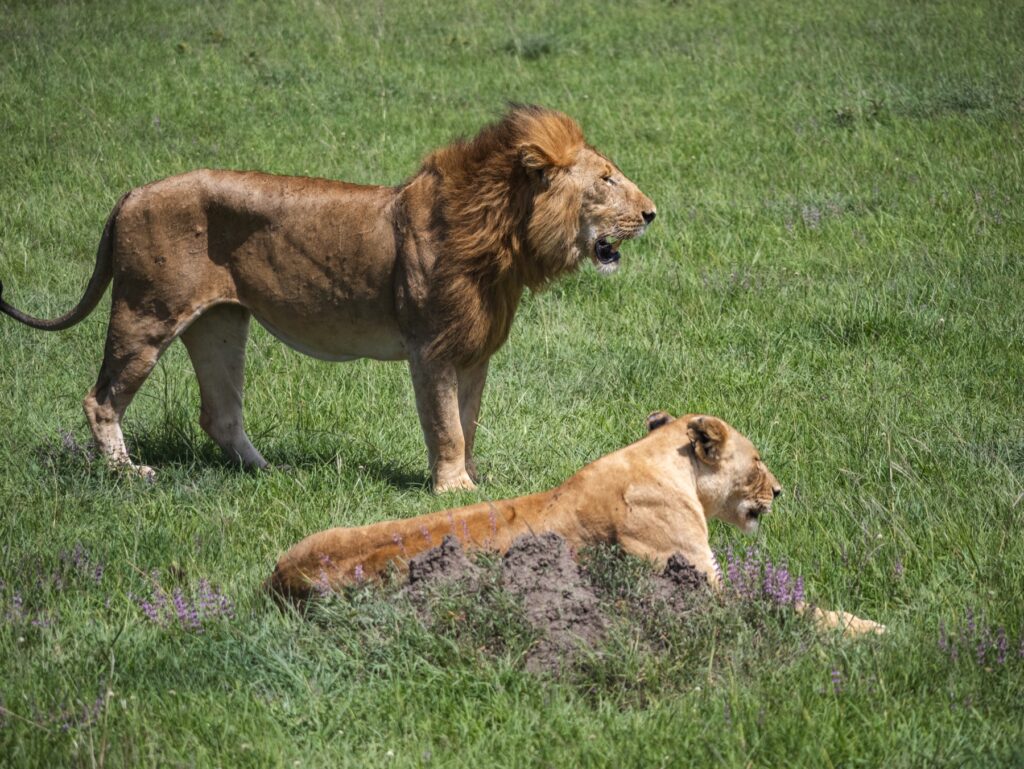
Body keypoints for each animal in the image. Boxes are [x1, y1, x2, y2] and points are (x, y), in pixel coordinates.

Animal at [0, 105, 656, 491]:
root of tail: (132, 192)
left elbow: (468, 422)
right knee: (101, 399)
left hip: (221, 323)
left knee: (220, 412)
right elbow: (445, 425)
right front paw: (452, 489)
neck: (504, 239)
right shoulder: (432, 349)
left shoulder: (474, 351)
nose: (652, 213)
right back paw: (127, 472)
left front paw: (473, 481)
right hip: (146, 313)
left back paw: (271, 473)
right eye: (605, 179)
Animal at [269, 411, 885, 636]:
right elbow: (793, 606)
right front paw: (874, 629)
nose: (778, 491)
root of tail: (279, 579)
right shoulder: (698, 584)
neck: (661, 464)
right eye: (756, 463)